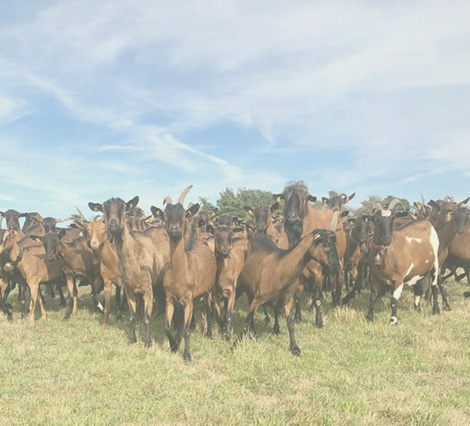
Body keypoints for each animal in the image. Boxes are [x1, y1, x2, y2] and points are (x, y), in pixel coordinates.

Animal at [151, 185, 217, 362]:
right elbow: (167, 327)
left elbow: (187, 329)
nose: (174, 229)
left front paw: (187, 355)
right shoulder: (170, 298)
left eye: (182, 214)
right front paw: (174, 345)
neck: (181, 271)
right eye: (165, 214)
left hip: (209, 289)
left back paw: (209, 333)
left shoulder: (188, 300)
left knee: (209, 309)